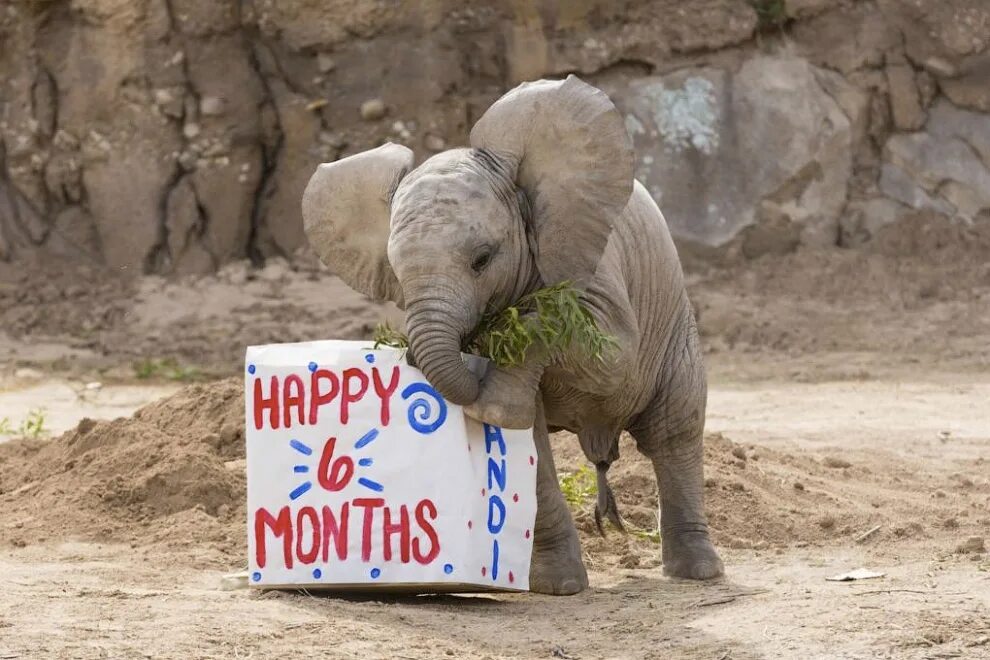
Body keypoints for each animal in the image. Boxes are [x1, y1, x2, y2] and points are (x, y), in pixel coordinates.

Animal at [300, 76, 720, 592]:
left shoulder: (588, 253)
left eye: (482, 259)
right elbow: (528, 447)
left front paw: (493, 405)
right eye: (395, 274)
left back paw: (699, 572)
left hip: (675, 326)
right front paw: (557, 588)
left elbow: (612, 360)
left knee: (673, 432)